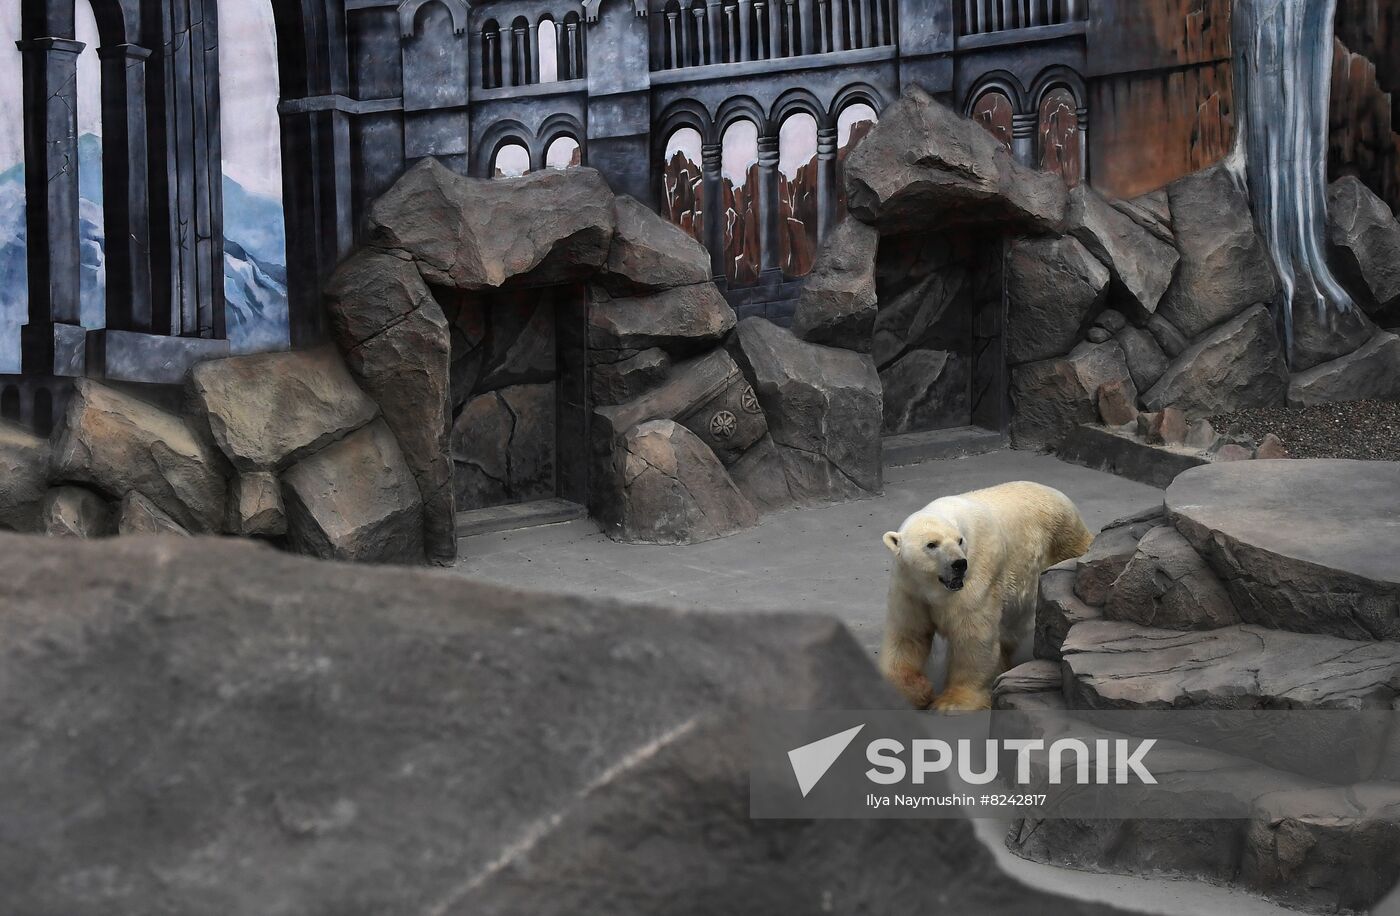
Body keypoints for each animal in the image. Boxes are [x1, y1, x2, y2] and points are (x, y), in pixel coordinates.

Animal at [879, 481, 1093, 712]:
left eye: (959, 541)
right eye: (931, 544)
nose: (959, 564)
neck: (933, 586)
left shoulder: (976, 574)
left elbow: (972, 635)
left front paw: (953, 702)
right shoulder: (909, 588)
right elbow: (909, 634)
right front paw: (913, 691)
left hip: (1062, 538)